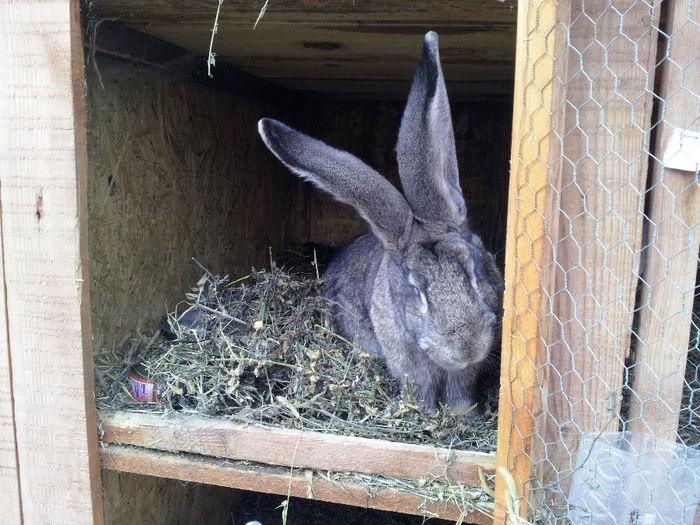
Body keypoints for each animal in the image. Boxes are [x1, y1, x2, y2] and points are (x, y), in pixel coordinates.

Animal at [258, 31, 504, 414]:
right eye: (416, 290)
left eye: (476, 273)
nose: (467, 348)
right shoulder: (409, 365)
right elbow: (420, 388)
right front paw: (426, 414)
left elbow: (460, 392)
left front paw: (463, 415)